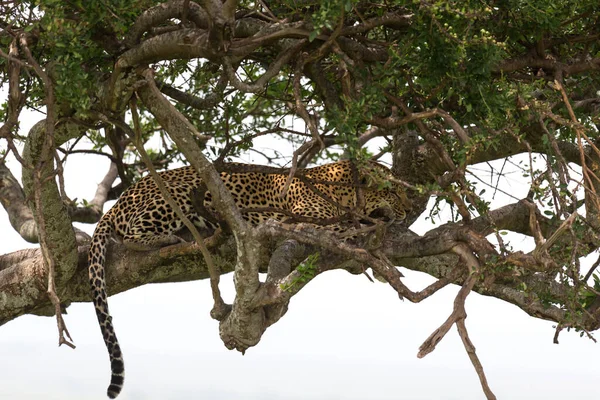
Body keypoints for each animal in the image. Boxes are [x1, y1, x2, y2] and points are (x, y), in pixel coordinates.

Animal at [88, 159, 408, 396]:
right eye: (392, 192)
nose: (407, 209)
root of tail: (118, 201)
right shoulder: (307, 221)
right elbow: (354, 227)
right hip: (181, 192)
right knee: (131, 235)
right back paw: (166, 238)